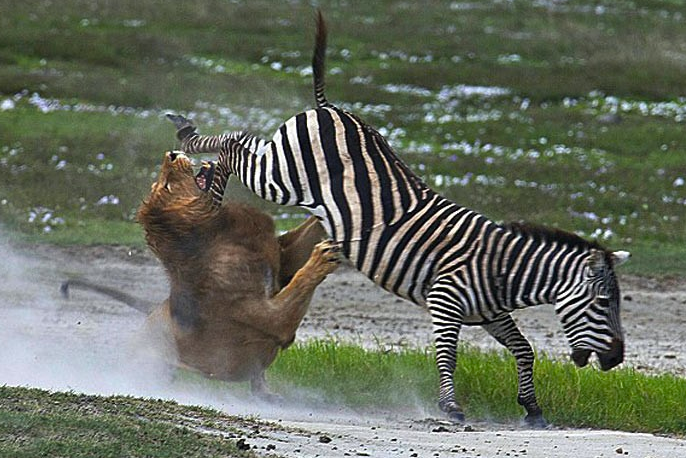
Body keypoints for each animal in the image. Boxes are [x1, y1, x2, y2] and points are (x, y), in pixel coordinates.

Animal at [62, 150, 338, 398]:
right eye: (167, 185)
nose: (171, 154)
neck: (219, 230)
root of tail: (151, 312)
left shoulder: (283, 257)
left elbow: (314, 223)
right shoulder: (269, 318)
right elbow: (299, 284)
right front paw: (323, 256)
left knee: (257, 382)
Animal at [165, 11, 628, 426]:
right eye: (604, 303)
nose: (616, 360)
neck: (502, 268)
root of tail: (331, 108)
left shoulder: (492, 313)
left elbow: (524, 349)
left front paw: (531, 408)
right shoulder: (445, 299)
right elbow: (449, 354)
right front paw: (451, 407)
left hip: (282, 164)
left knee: (240, 144)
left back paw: (205, 174)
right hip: (281, 176)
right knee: (234, 145)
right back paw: (198, 160)